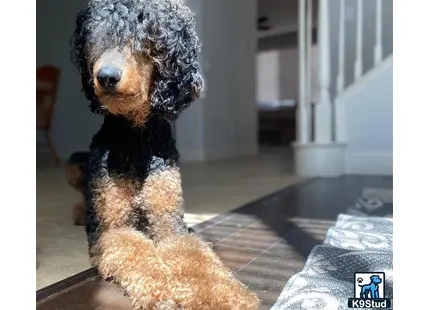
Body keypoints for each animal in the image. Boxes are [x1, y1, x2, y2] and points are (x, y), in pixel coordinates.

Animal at [70, 1, 258, 308]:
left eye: (146, 36)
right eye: (95, 37)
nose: (106, 76)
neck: (136, 141)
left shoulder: (169, 221)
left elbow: (195, 256)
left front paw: (225, 295)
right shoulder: (112, 228)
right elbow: (137, 252)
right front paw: (164, 291)